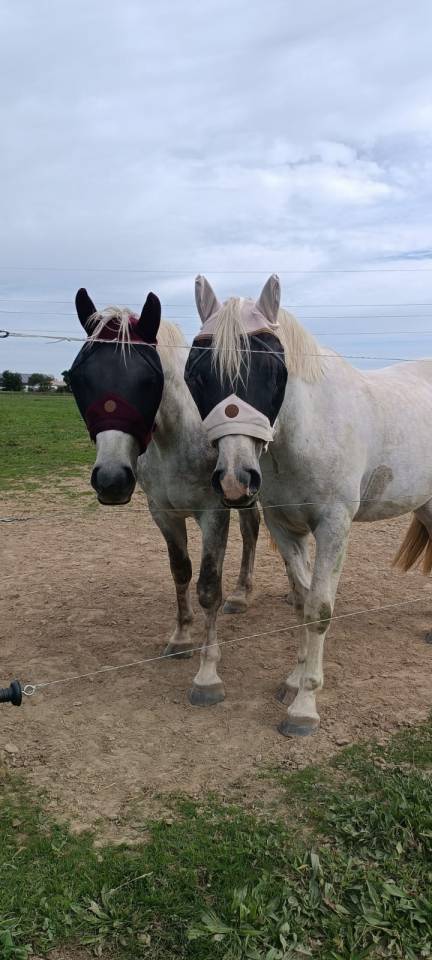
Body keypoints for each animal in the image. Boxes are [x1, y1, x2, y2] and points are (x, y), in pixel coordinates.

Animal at [69, 288, 260, 705]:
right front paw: (181, 638)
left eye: (148, 379)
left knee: (253, 531)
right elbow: (180, 572)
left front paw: (207, 675)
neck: (177, 438)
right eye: (79, 378)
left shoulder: (214, 513)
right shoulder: (164, 514)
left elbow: (208, 587)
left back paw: (243, 594)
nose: (111, 480)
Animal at [184, 273, 432, 736]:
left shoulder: (334, 525)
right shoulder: (285, 528)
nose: (234, 479)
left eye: (270, 369)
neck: (308, 429)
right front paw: (294, 680)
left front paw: (305, 706)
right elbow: (301, 600)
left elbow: (319, 609)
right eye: (197, 374)